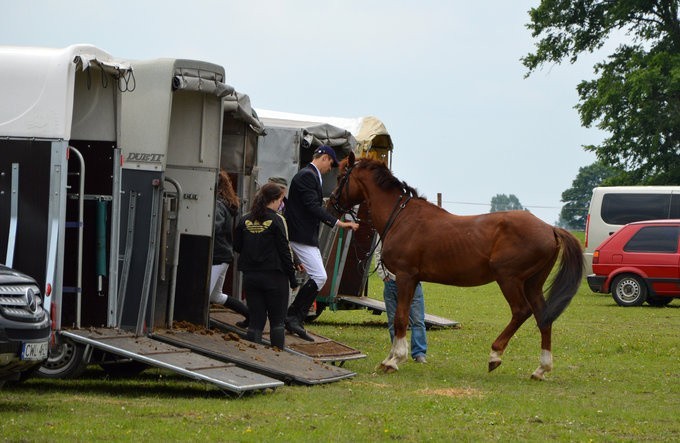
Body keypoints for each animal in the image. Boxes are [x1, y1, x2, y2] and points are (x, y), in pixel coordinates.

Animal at [332, 153, 580, 382]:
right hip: (532, 283)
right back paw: (541, 369)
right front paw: (394, 357)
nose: (330, 203)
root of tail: (550, 228)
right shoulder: (413, 280)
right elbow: (404, 317)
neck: (401, 217)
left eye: (341, 176)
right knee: (543, 316)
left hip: (509, 279)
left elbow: (400, 318)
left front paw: (393, 360)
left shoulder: (405, 276)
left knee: (521, 311)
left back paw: (495, 355)